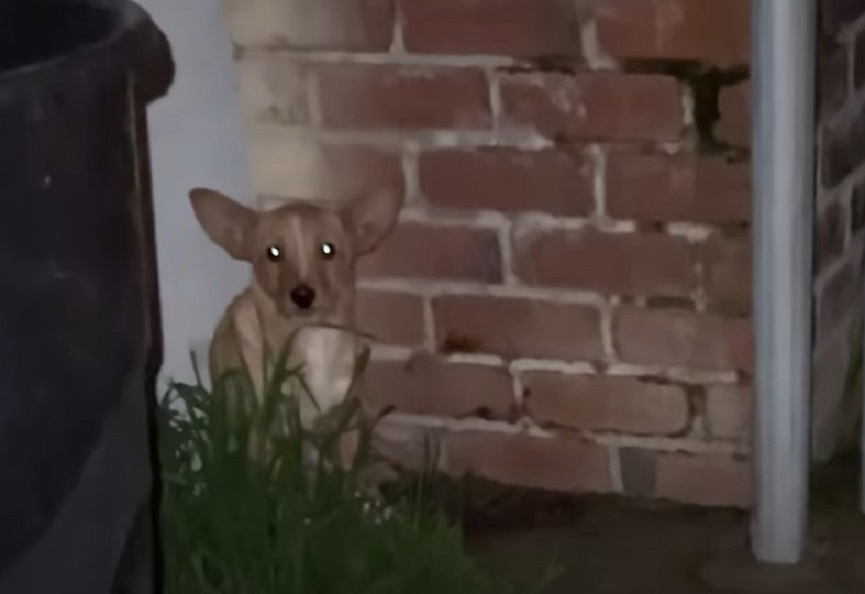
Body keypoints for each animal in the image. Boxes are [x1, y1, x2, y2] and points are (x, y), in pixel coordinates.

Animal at [188, 186, 402, 472]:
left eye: (327, 249)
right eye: (273, 253)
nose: (302, 295)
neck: (312, 335)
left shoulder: (346, 419)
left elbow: (347, 477)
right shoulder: (265, 428)